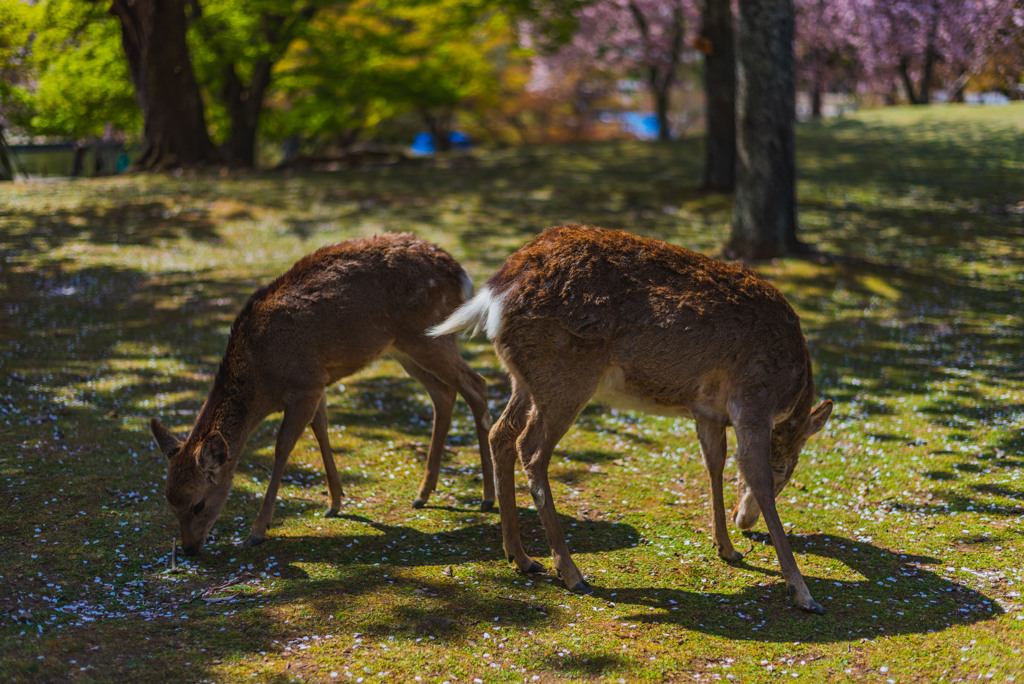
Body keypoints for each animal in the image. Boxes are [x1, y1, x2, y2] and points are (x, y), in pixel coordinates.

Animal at [149, 232, 495, 552]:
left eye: (199, 504)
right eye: (170, 502)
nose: (189, 549)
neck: (262, 379)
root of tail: (460, 274)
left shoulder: (305, 383)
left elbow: (283, 447)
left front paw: (257, 531)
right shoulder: (318, 383)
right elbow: (321, 430)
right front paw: (335, 502)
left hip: (431, 336)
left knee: (477, 385)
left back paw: (488, 497)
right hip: (404, 348)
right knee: (444, 395)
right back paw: (423, 493)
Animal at [428, 224, 835, 614]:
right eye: (786, 470)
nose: (744, 521)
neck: (791, 390)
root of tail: (496, 291)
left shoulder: (707, 411)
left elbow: (714, 464)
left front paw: (727, 548)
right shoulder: (753, 400)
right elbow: (758, 479)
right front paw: (802, 592)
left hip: (525, 377)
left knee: (501, 434)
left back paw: (521, 557)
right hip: (566, 374)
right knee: (530, 447)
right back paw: (572, 573)